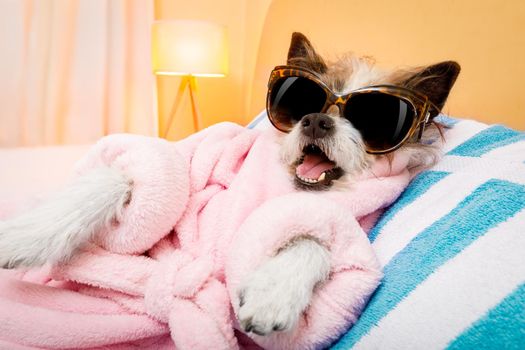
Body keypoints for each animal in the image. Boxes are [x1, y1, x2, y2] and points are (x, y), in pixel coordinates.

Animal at [0, 32, 458, 344]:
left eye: (375, 117)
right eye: (299, 99)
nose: (314, 120)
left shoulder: (342, 227)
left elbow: (313, 239)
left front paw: (275, 292)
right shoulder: (184, 169)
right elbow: (117, 178)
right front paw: (27, 236)